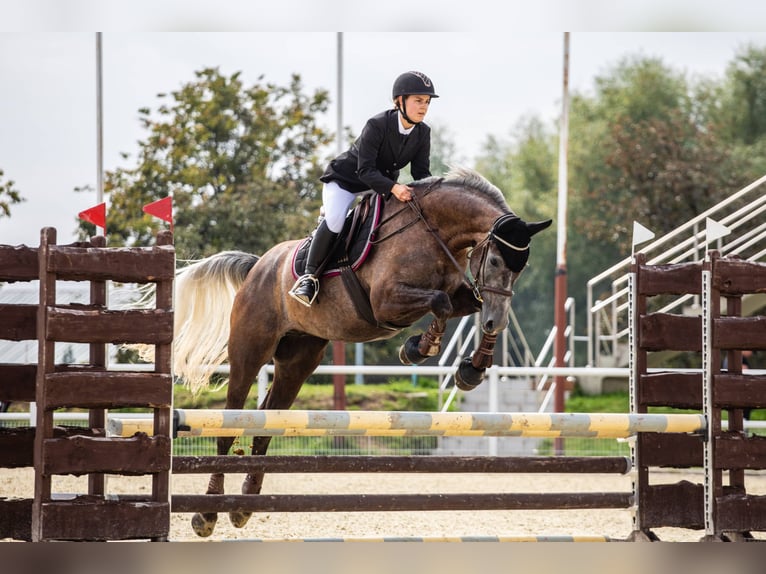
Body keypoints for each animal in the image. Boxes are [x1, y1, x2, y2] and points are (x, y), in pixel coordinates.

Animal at [172, 169, 552, 536]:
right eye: (497, 261)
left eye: (520, 268)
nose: (496, 319)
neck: (435, 232)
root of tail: (257, 267)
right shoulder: (385, 301)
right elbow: (440, 302)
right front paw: (419, 348)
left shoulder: (461, 295)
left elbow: (462, 303)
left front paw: (472, 368)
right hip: (249, 350)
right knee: (229, 423)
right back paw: (207, 515)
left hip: (298, 360)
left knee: (266, 423)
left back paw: (242, 508)